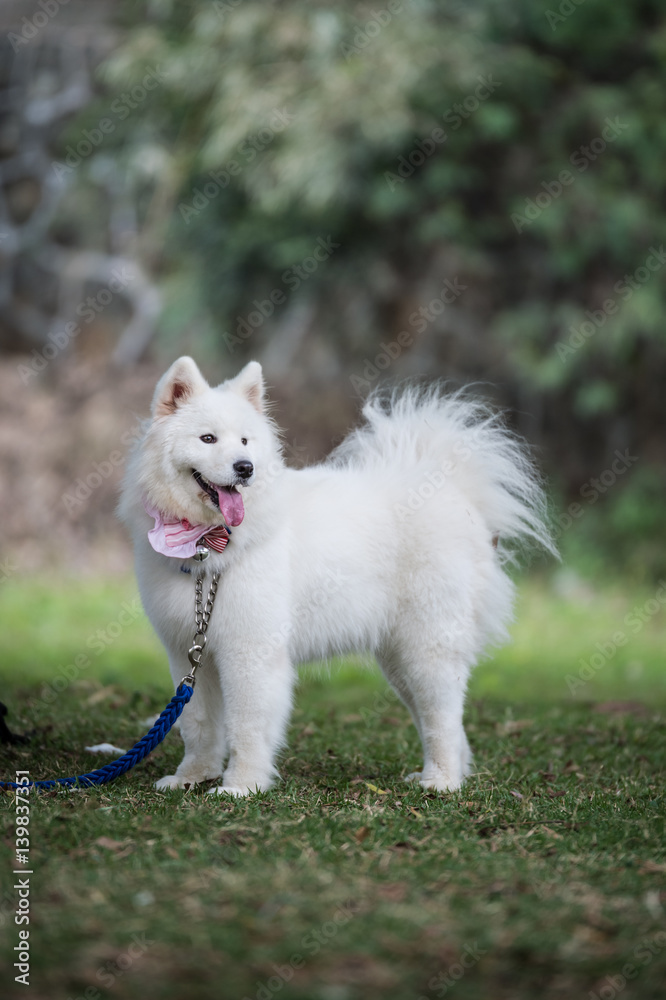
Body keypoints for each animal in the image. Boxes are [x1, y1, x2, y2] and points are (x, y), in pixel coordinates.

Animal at [118, 360, 548, 796]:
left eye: (244, 441)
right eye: (207, 438)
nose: (245, 467)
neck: (207, 545)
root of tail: (454, 490)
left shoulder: (249, 652)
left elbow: (247, 726)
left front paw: (241, 786)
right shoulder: (189, 655)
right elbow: (198, 725)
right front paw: (192, 777)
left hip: (426, 649)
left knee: (442, 717)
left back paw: (440, 781)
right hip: (399, 660)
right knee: (443, 721)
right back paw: (446, 774)